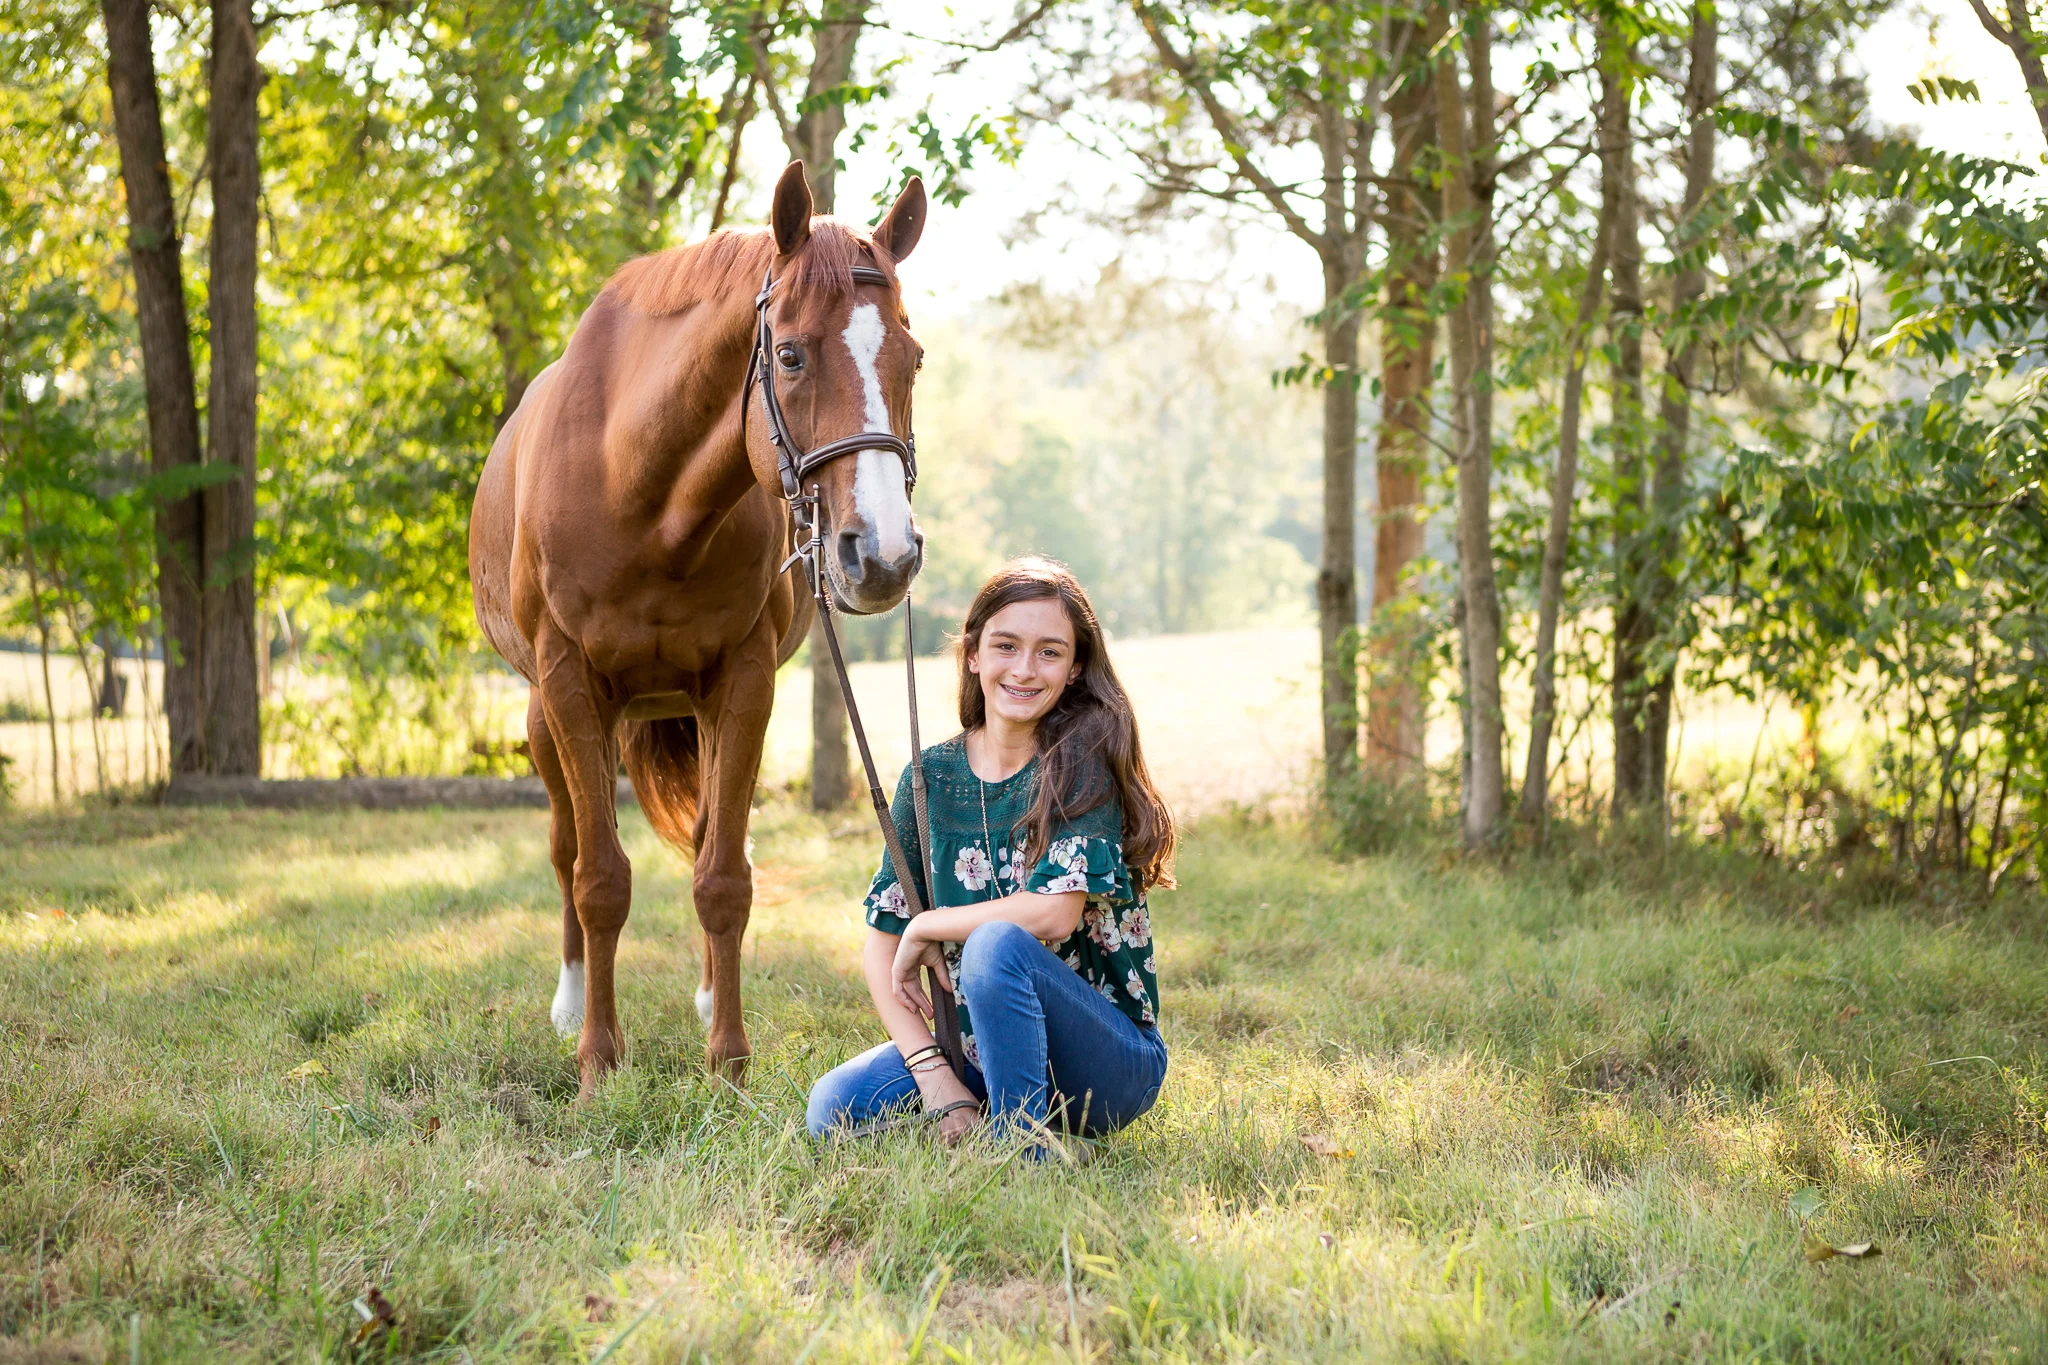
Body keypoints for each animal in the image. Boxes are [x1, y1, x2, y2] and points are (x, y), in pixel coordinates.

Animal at [469, 161, 928, 1097]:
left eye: (913, 358)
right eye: (789, 355)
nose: (884, 554)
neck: (640, 493)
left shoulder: (743, 681)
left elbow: (723, 876)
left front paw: (729, 1058)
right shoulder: (568, 684)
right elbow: (597, 877)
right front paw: (598, 1059)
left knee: (714, 840)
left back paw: (710, 993)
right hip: (546, 719)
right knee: (565, 847)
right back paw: (570, 1001)